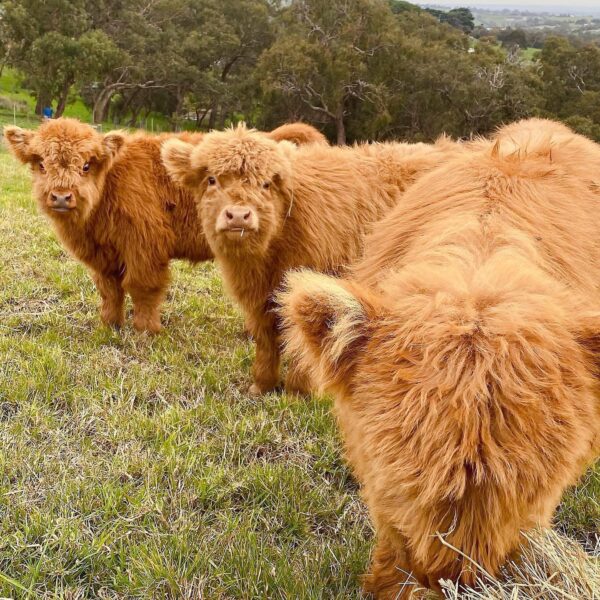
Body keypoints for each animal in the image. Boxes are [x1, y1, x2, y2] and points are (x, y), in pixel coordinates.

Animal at [4, 117, 324, 332]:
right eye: (41, 164)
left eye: (85, 165)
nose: (61, 196)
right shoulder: (104, 257)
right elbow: (110, 290)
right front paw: (109, 324)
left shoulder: (145, 245)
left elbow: (142, 287)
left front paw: (145, 330)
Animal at [163, 122, 464, 394]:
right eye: (211, 180)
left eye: (266, 184)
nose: (238, 215)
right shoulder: (258, 298)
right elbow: (266, 340)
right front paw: (261, 385)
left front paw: (297, 392)